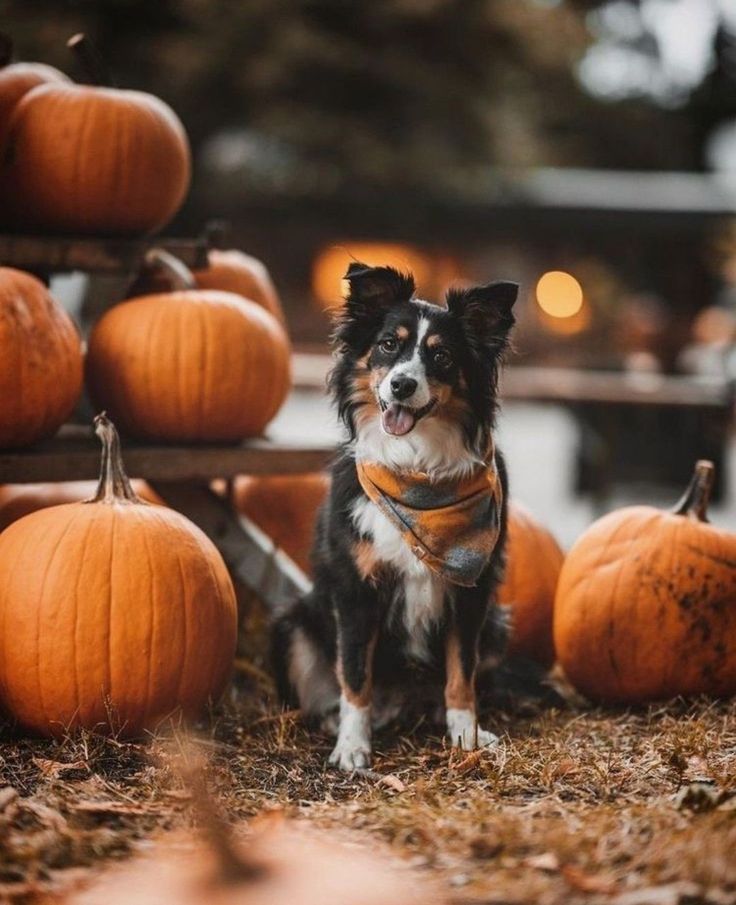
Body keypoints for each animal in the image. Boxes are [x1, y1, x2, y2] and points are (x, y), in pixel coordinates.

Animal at [274, 264, 520, 768]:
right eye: (389, 344)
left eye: (442, 355)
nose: (402, 385)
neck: (417, 469)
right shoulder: (355, 591)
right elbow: (354, 674)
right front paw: (352, 746)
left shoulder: (472, 594)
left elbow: (461, 674)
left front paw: (466, 735)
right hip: (292, 623)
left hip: (498, 626)